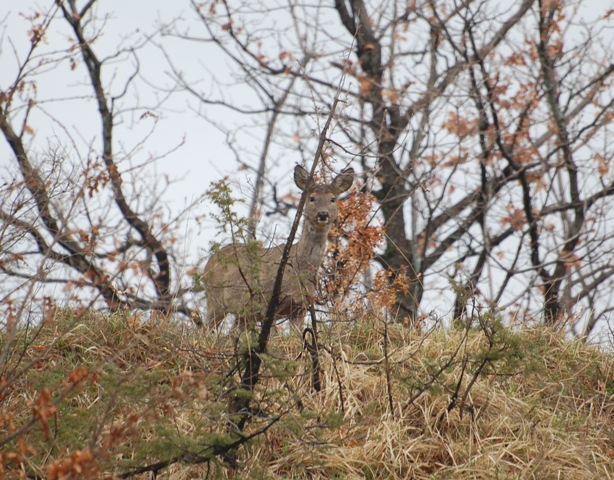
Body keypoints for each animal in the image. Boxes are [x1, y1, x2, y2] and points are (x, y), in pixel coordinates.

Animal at [205, 165, 354, 330]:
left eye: (333, 199)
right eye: (312, 198)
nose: (323, 214)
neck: (299, 267)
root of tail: (208, 263)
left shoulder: (300, 306)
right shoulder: (268, 303)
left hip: (243, 313)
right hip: (214, 300)